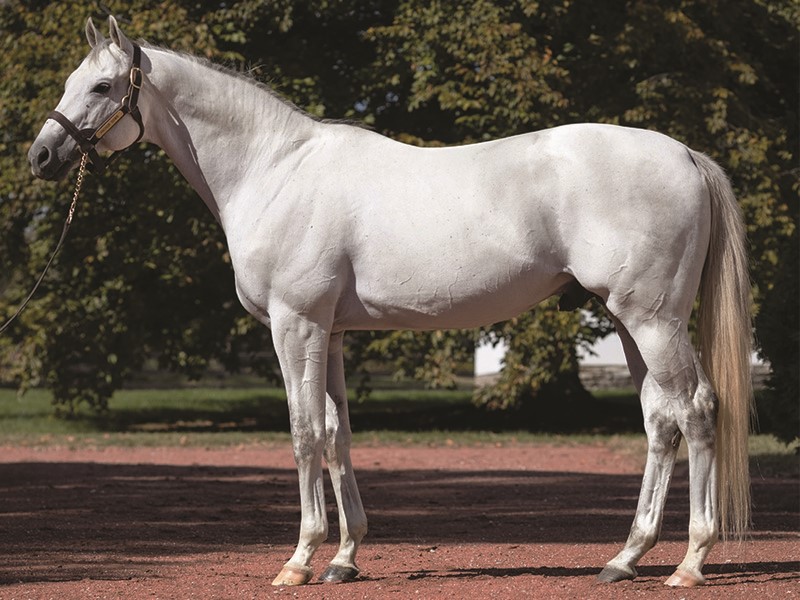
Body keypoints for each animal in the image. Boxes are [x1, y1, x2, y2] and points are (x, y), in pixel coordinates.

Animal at [28, 16, 753, 588]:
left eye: (101, 87)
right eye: (70, 80)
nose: (40, 155)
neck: (275, 170)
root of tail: (685, 154)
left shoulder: (296, 326)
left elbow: (302, 433)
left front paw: (299, 560)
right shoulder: (331, 333)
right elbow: (337, 433)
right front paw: (344, 558)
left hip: (653, 322)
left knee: (695, 412)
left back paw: (690, 564)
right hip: (629, 323)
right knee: (659, 423)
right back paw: (625, 558)